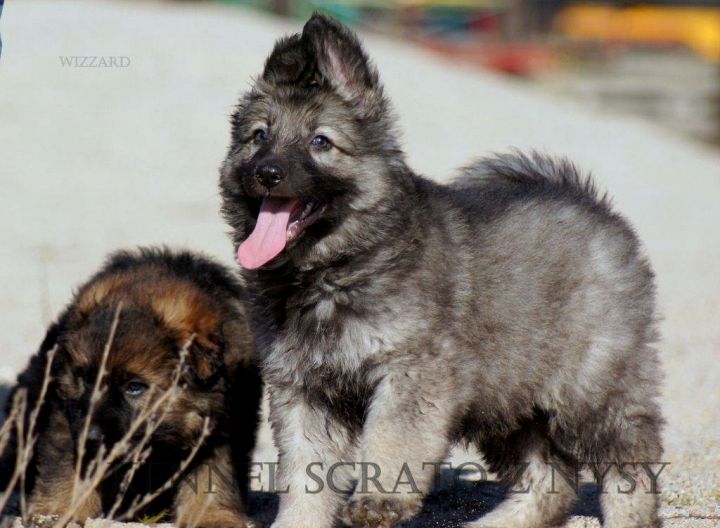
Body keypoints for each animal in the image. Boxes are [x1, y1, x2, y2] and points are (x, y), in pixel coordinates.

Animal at [0, 248, 262, 527]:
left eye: (134, 387)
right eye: (85, 378)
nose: (92, 436)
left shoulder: (225, 425)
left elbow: (214, 476)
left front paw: (212, 517)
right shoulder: (66, 413)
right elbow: (65, 466)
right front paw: (58, 512)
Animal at [219, 14, 664, 528]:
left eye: (320, 142)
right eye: (259, 136)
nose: (267, 173)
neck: (331, 270)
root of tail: (592, 204)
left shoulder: (410, 373)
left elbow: (390, 442)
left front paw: (379, 502)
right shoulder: (302, 389)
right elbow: (304, 475)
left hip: (590, 389)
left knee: (631, 461)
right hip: (509, 397)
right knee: (549, 479)